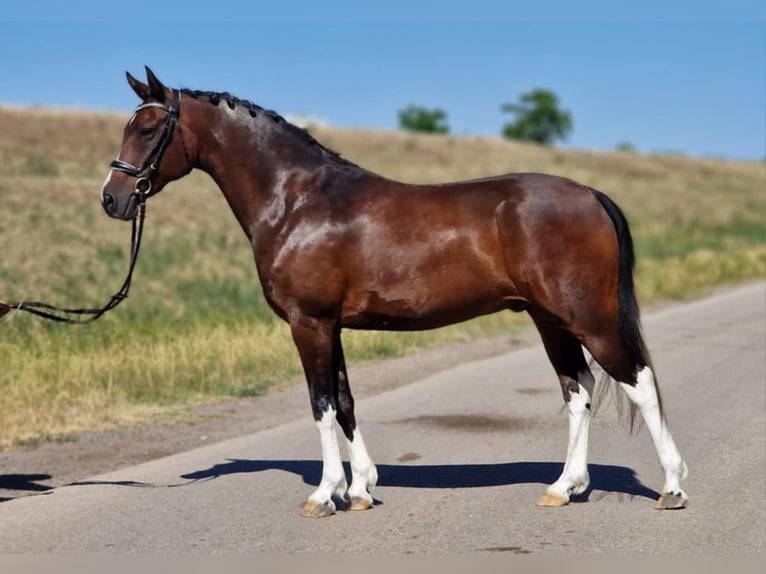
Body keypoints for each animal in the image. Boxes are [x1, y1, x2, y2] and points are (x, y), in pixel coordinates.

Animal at [100, 67, 688, 518]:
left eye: (149, 128)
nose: (112, 198)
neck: (298, 201)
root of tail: (588, 194)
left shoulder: (309, 323)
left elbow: (320, 404)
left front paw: (324, 495)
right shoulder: (330, 326)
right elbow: (344, 401)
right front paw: (360, 488)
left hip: (586, 316)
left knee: (637, 379)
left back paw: (672, 486)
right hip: (549, 319)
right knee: (578, 389)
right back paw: (564, 488)